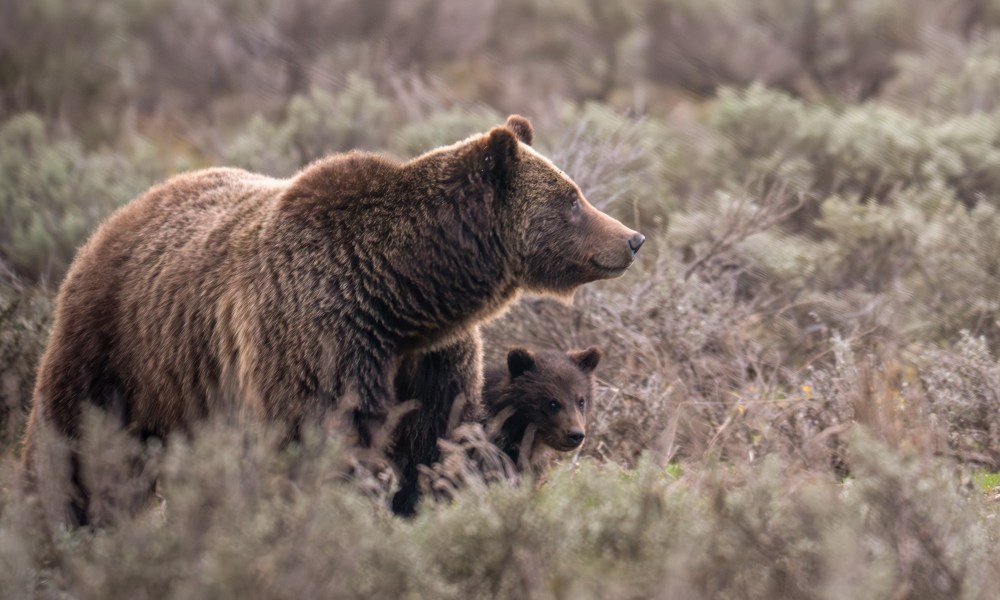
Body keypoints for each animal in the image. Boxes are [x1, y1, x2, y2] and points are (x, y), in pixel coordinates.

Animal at [25, 115, 648, 524]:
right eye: (572, 198)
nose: (633, 238)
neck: (404, 294)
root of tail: (122, 213)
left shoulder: (430, 360)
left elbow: (430, 444)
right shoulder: (321, 335)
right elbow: (324, 438)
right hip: (117, 345)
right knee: (75, 443)